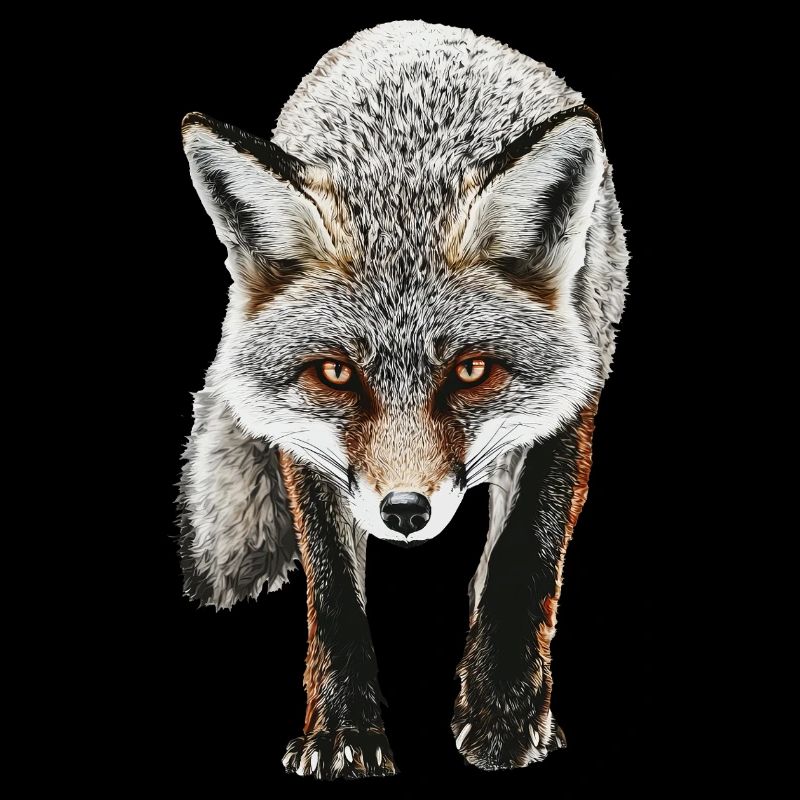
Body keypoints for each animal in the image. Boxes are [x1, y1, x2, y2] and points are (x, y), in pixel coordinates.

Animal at [177, 20, 628, 779]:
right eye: (335, 374)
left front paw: (505, 713)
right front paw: (341, 731)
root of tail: (416, 28)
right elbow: (334, 593)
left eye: (471, 371)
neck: (405, 169)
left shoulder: (570, 398)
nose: (406, 512)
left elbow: (522, 560)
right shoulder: (306, 445)